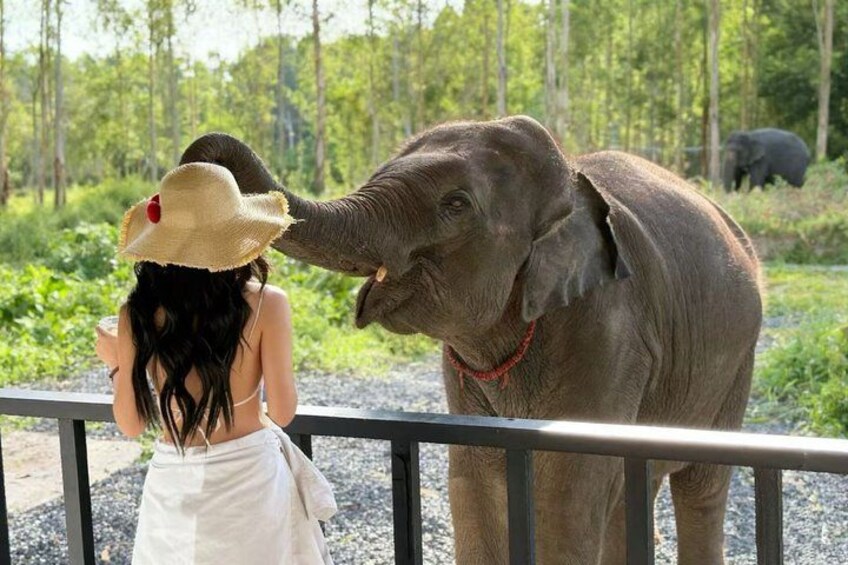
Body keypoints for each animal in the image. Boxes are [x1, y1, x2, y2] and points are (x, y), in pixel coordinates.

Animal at [180, 116, 763, 565]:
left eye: (456, 205)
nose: (196, 170)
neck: (569, 185)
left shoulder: (611, 334)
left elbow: (569, 488)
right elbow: (474, 476)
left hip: (738, 361)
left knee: (700, 486)